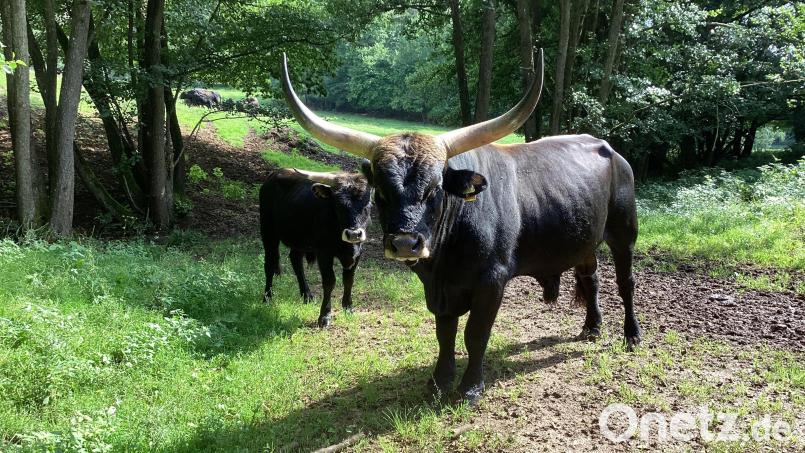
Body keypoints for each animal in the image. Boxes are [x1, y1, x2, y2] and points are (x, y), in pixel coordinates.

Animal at [260, 166, 373, 327]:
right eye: (338, 205)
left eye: (368, 204)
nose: (354, 234)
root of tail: (274, 174)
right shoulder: (324, 253)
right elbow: (329, 281)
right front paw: (324, 316)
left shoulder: (357, 253)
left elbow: (349, 279)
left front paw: (348, 307)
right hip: (268, 231)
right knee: (269, 264)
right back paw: (267, 298)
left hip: (299, 240)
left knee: (296, 261)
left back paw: (307, 295)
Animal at [280, 50, 641, 404]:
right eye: (380, 192)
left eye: (435, 189)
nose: (405, 244)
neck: (445, 259)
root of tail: (611, 150)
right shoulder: (437, 288)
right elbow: (445, 333)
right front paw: (439, 382)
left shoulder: (492, 281)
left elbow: (475, 334)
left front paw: (470, 387)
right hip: (586, 240)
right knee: (591, 278)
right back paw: (592, 327)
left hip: (624, 233)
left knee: (626, 283)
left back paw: (632, 335)